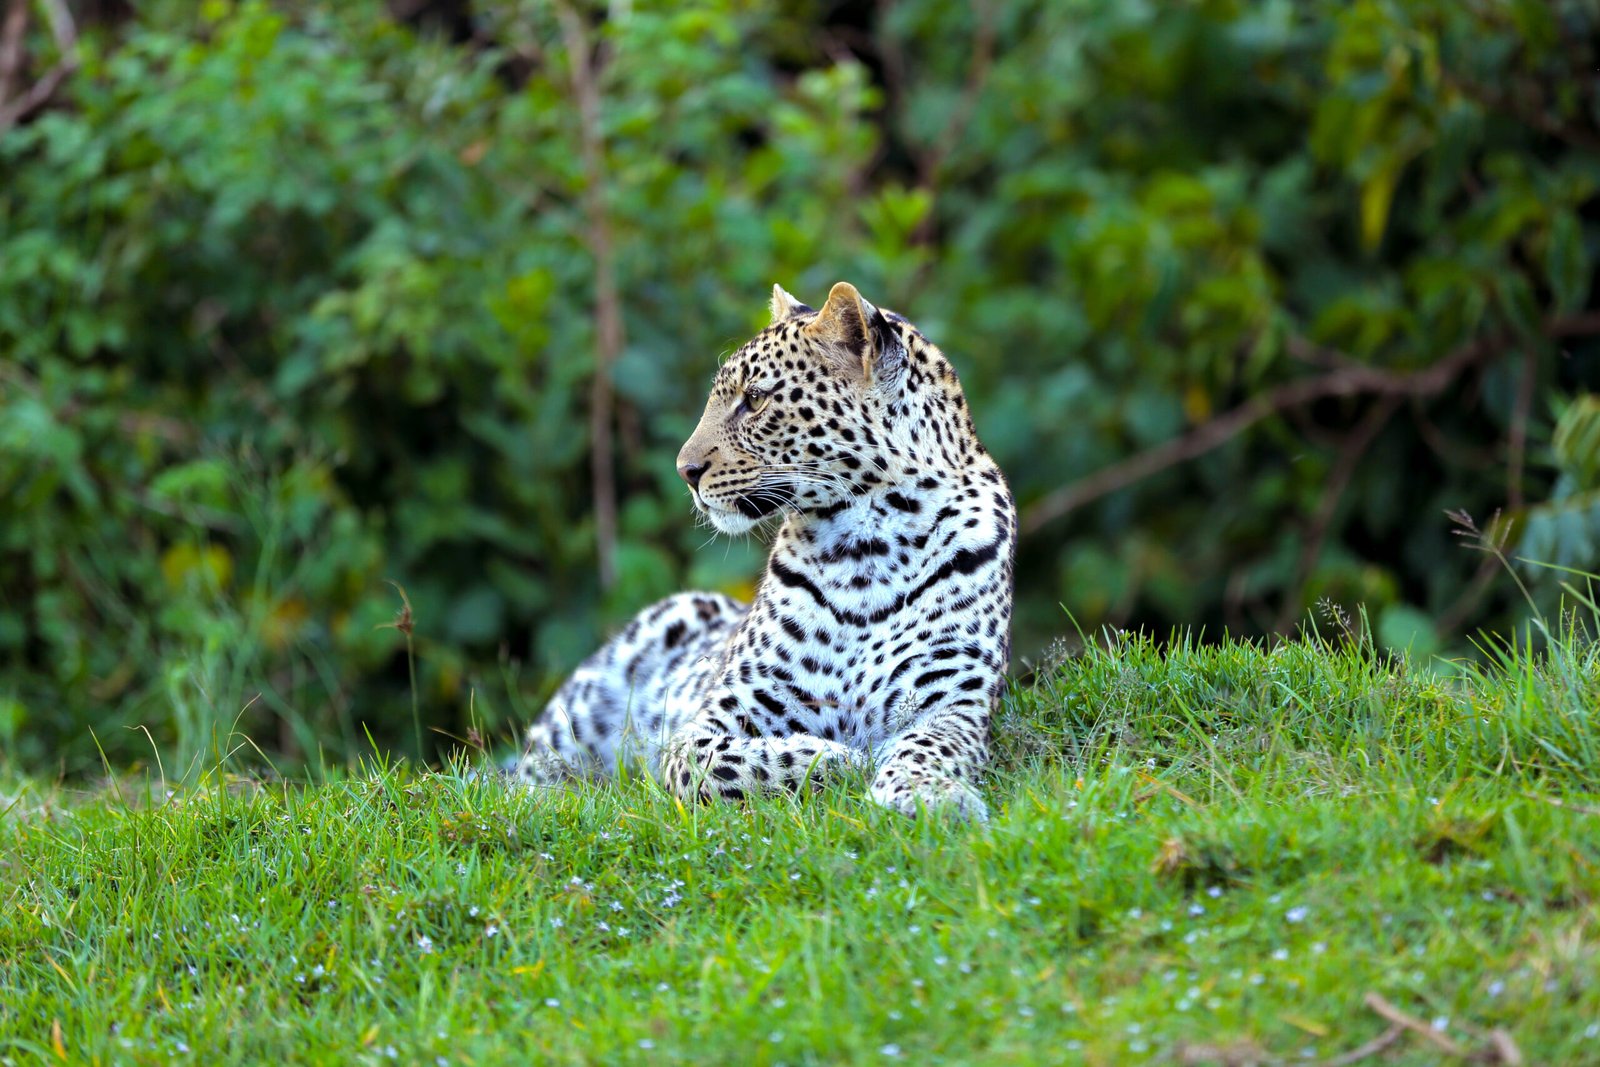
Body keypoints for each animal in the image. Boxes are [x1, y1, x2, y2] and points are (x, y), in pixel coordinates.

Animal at [510, 281, 1015, 820]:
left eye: (754, 400)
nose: (684, 471)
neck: (871, 547)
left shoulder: (955, 705)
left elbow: (928, 746)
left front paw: (929, 793)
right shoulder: (708, 723)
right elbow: (727, 763)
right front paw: (843, 758)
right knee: (523, 779)